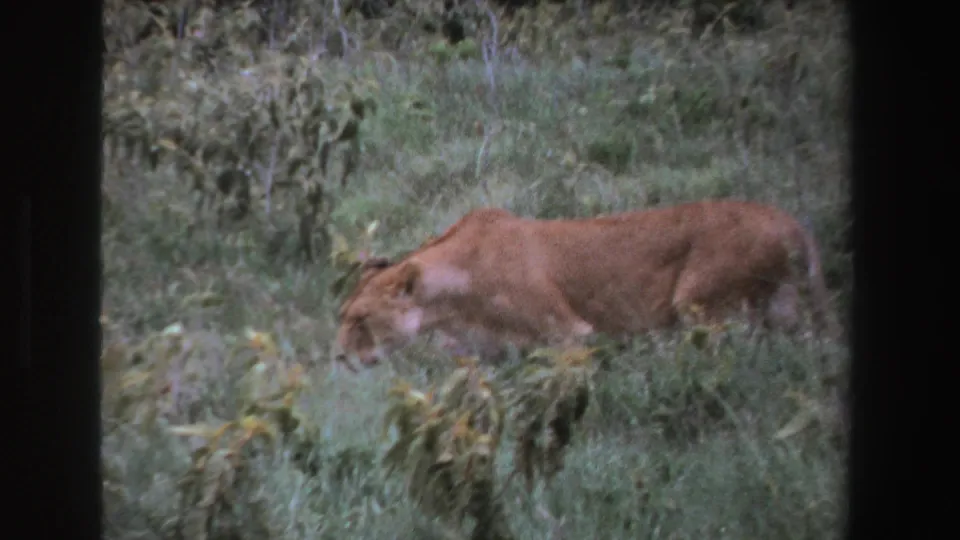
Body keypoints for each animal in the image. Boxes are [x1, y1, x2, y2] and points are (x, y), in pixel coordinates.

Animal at [334, 201, 840, 368]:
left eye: (359, 320)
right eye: (342, 316)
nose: (339, 357)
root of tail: (793, 223)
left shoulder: (567, 333)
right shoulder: (480, 352)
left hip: (701, 304)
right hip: (790, 315)